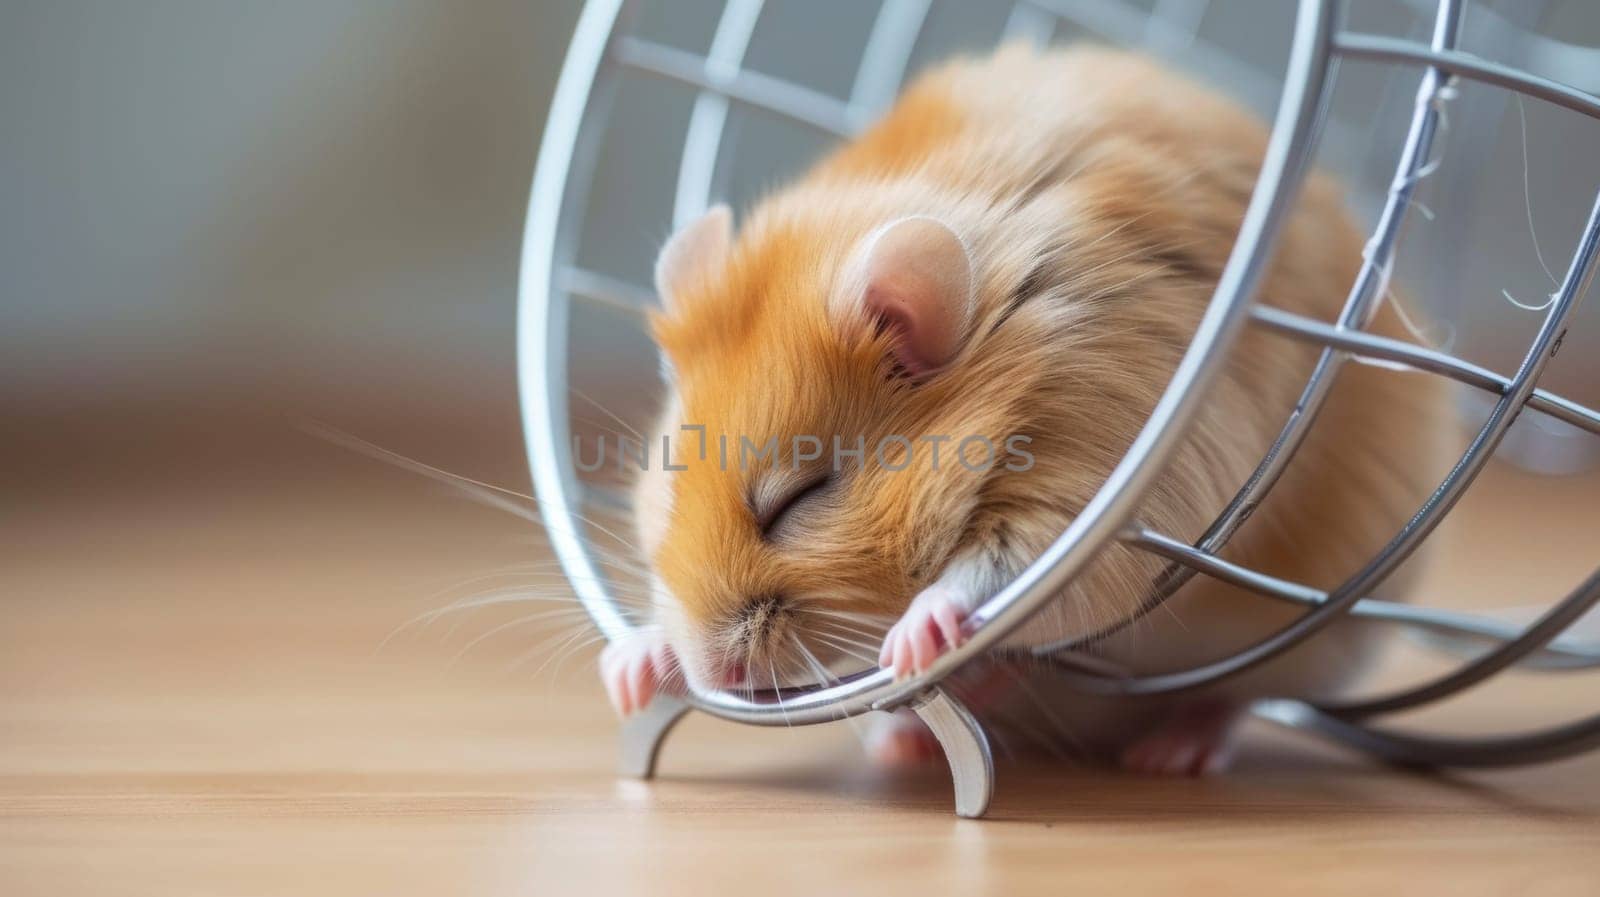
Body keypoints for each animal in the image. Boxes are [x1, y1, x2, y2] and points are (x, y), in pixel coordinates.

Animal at [595, 41, 1446, 773]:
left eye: (800, 496)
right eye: (668, 491)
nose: (710, 670)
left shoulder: (1095, 481)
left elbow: (990, 576)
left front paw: (912, 643)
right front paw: (631, 668)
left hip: (1308, 645)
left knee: (1237, 697)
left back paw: (1166, 752)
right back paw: (908, 736)